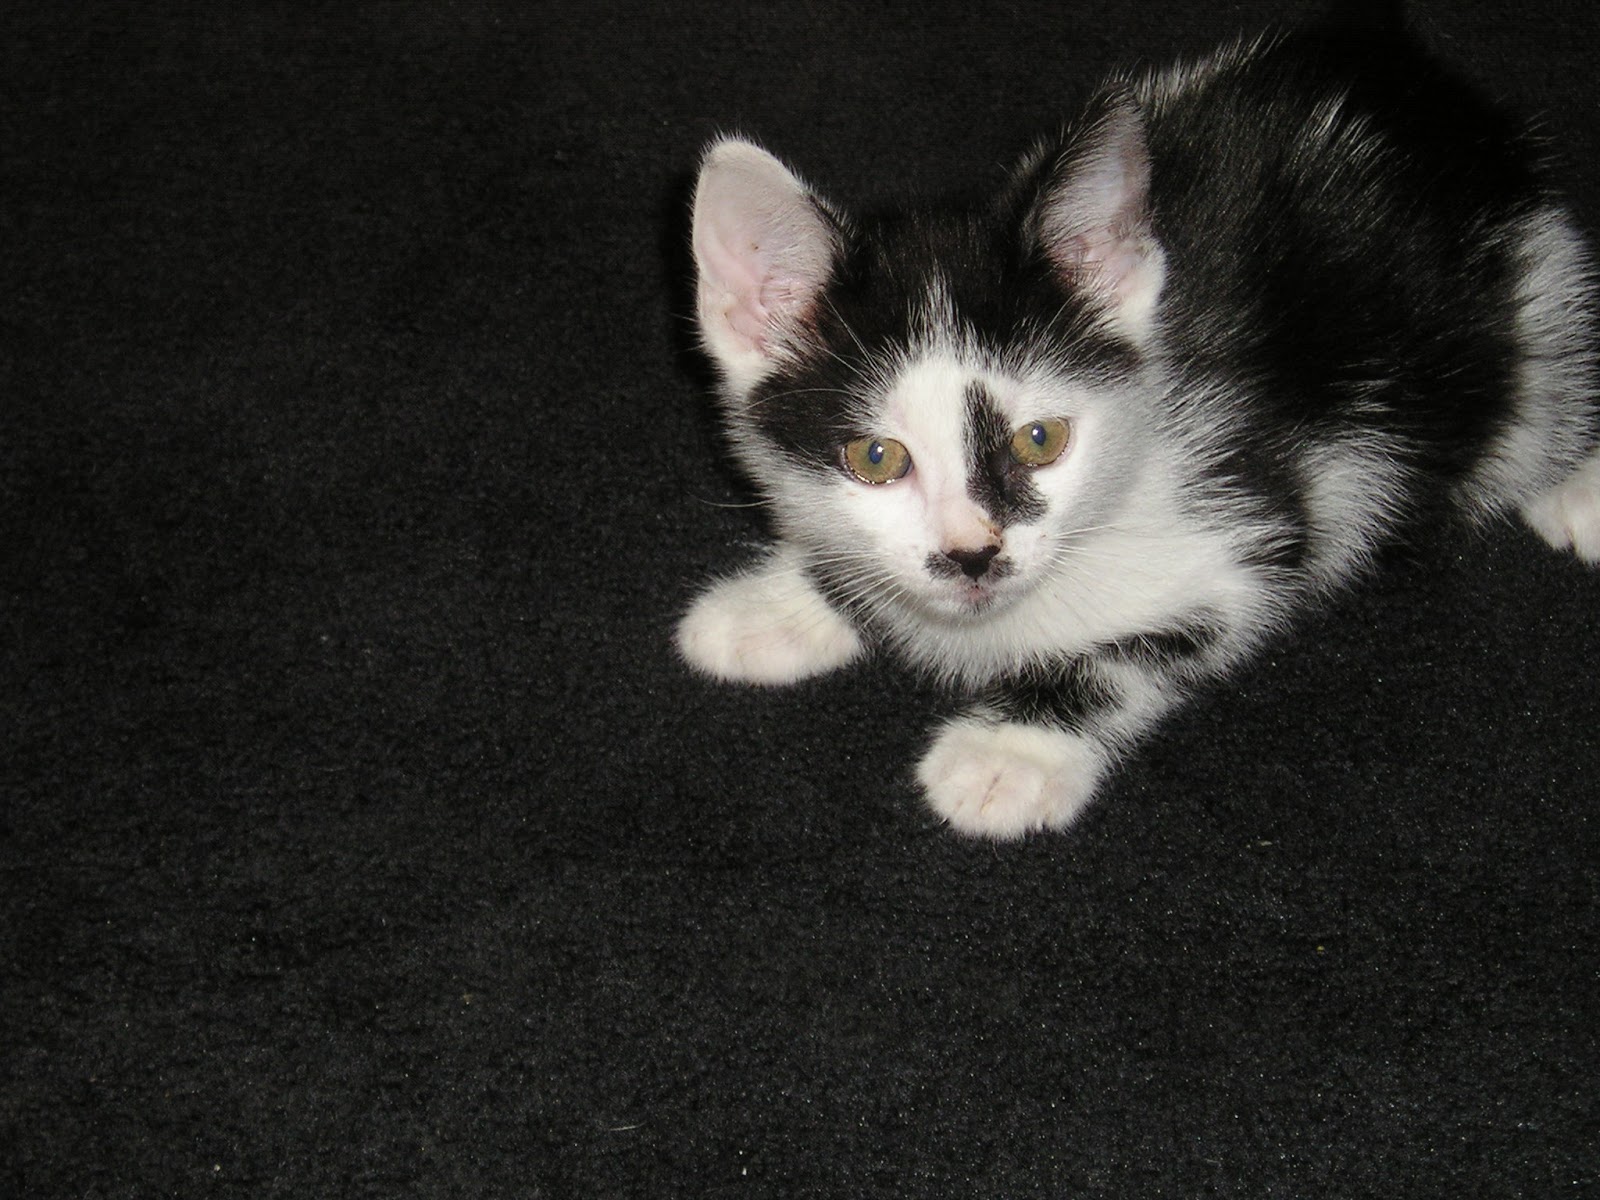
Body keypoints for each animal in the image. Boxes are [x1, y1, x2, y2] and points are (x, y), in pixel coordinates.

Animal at [675, 23, 1600, 839]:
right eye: (876, 457)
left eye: (1041, 441)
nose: (974, 556)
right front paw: (778, 606)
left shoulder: (1270, 522)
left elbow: (1134, 652)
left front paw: (1012, 753)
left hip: (1533, 305)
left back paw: (1579, 490)